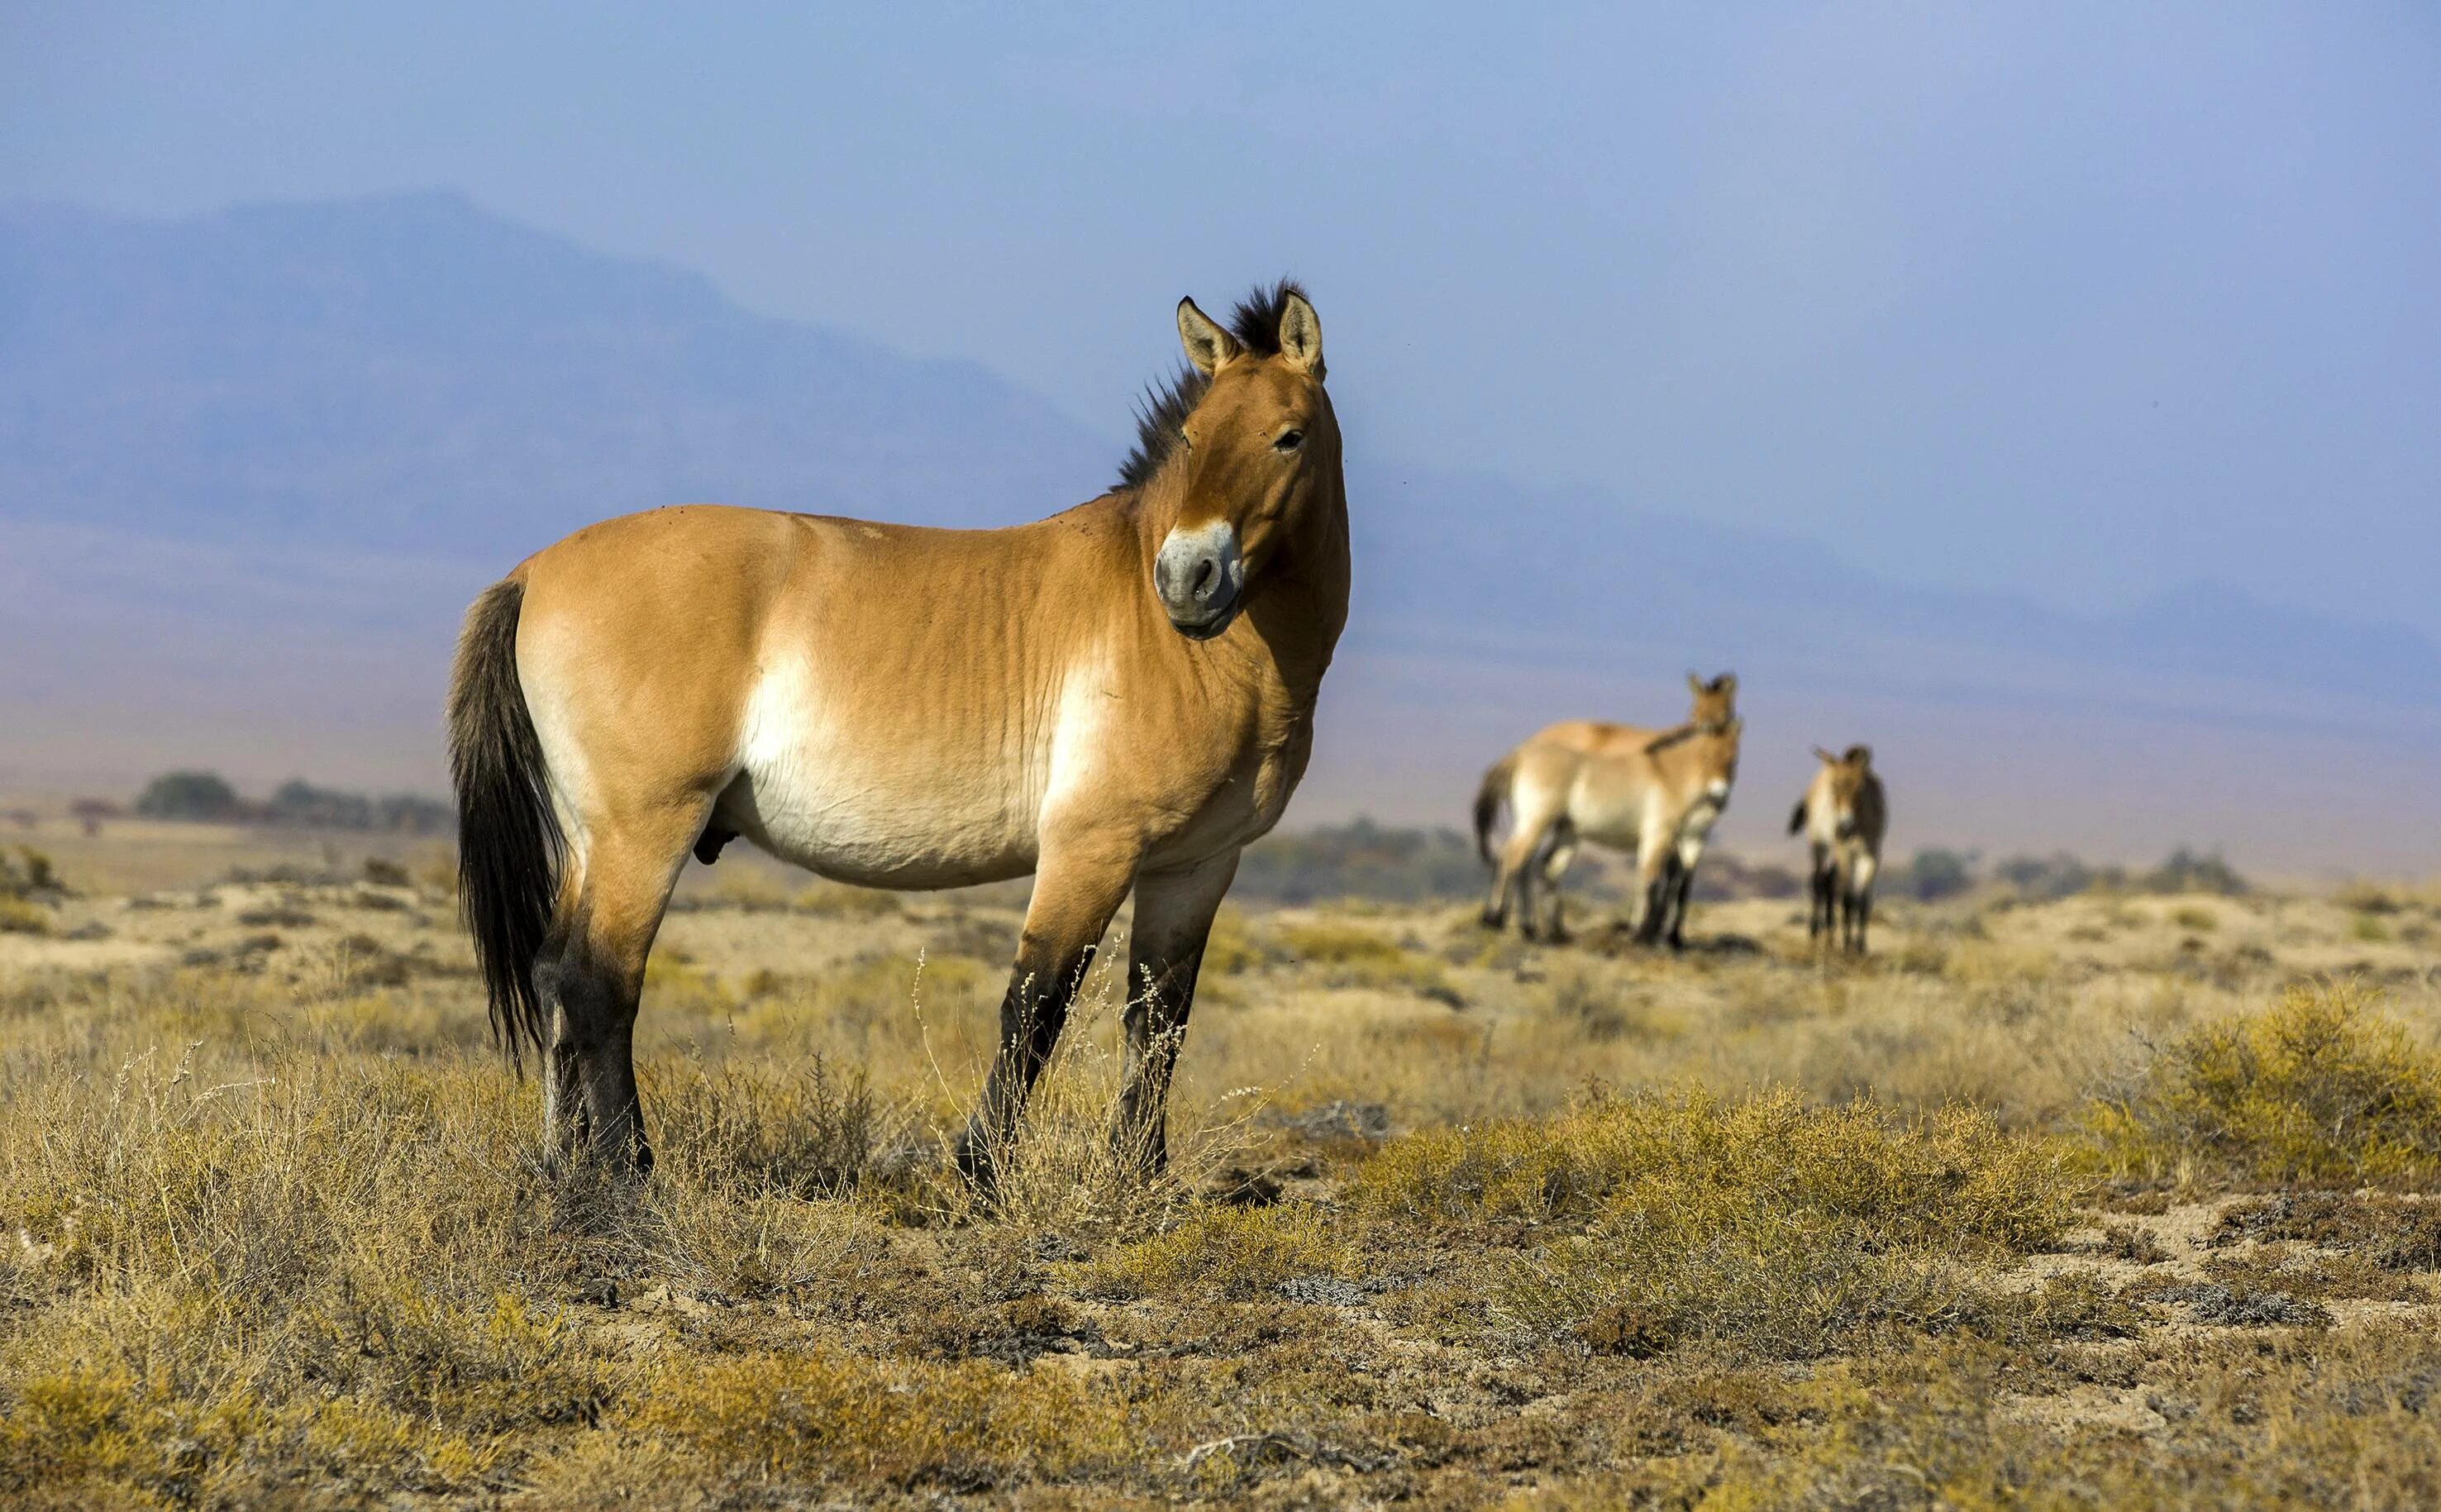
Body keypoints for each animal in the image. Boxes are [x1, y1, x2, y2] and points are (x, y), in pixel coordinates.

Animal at [449, 278, 1347, 1187]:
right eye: (1195, 436)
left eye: (1288, 436)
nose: (1187, 579)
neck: (1190, 648)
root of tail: (532, 572)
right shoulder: (1091, 848)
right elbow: (1035, 1003)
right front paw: (982, 1170)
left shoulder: (1193, 864)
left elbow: (1158, 1017)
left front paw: (1137, 1173)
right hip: (645, 831)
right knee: (599, 984)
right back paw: (632, 1170)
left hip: (591, 837)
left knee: (555, 976)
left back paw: (565, 1164)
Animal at [1464, 718, 1738, 947]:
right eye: (1706, 756)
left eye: (1732, 760)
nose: (1720, 796)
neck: (1667, 775)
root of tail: (1520, 756)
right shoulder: (1658, 837)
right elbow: (1650, 881)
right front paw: (1640, 936)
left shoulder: (1684, 841)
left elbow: (1674, 885)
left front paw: (1662, 937)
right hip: (1536, 823)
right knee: (1514, 859)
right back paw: (1498, 921)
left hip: (1564, 833)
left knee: (1539, 866)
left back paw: (1545, 932)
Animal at [1796, 747, 1884, 957]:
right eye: (1835, 786)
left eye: (1860, 788)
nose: (1844, 826)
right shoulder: (1845, 853)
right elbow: (1848, 899)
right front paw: (1847, 944)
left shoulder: (1871, 855)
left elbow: (1863, 901)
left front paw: (1860, 946)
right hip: (1820, 847)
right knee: (1818, 881)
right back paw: (1816, 933)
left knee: (1828, 882)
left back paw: (1830, 933)